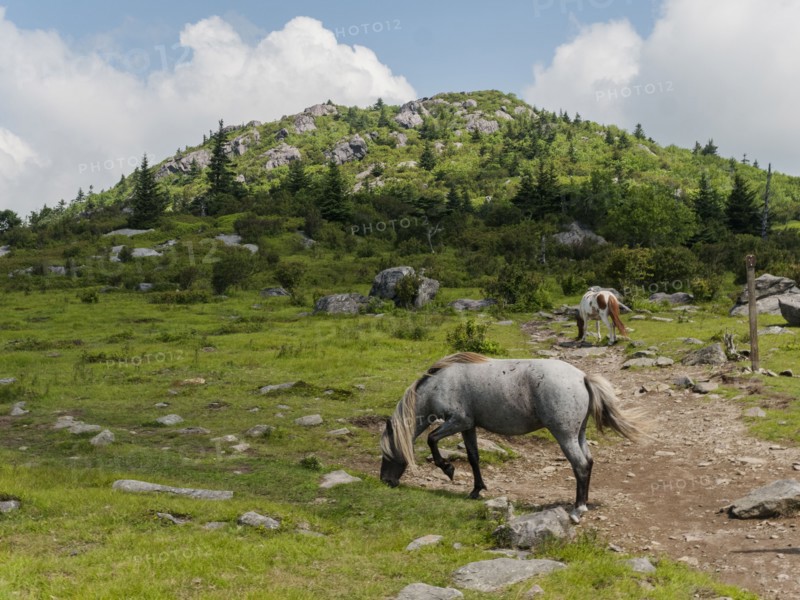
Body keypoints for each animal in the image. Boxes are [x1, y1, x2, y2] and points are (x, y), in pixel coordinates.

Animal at [380, 352, 645, 522]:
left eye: (386, 452)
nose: (386, 481)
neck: (440, 383)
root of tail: (582, 377)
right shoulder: (468, 426)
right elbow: (473, 457)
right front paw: (476, 490)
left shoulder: (458, 421)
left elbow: (432, 439)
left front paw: (448, 469)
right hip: (578, 433)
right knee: (588, 463)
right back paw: (584, 503)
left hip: (565, 435)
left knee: (579, 465)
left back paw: (578, 510)